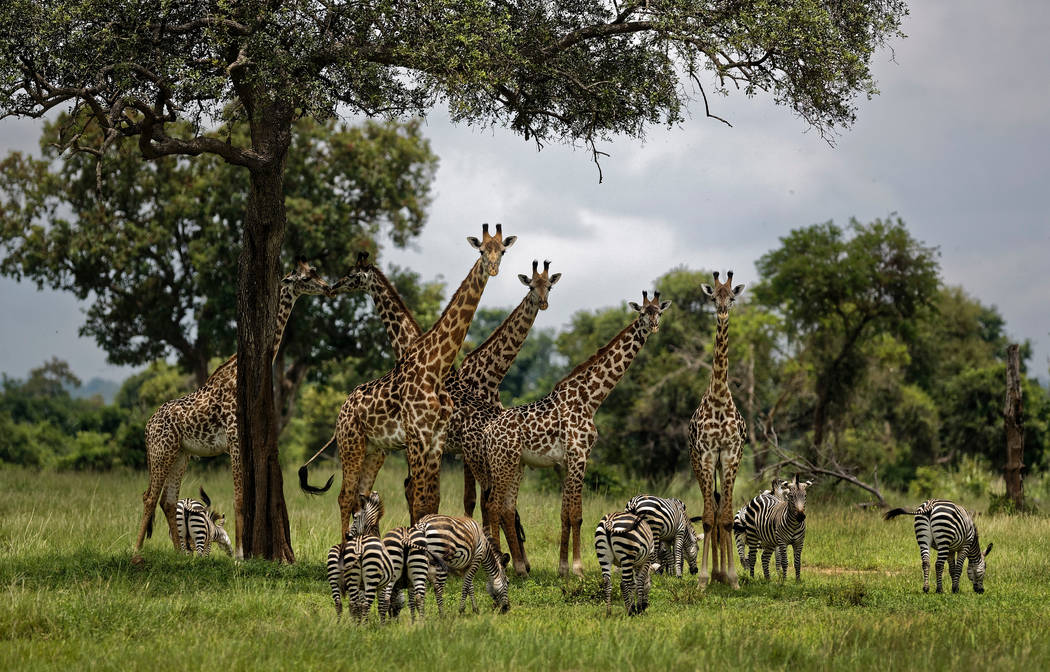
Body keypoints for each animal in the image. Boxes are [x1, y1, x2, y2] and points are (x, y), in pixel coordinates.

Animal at [131, 260, 329, 558]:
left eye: (315, 270)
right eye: (305, 277)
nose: (328, 287)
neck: (238, 375)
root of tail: (147, 425)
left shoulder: (239, 444)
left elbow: (242, 498)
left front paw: (240, 552)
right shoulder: (234, 440)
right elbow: (238, 499)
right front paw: (240, 555)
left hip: (181, 455)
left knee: (168, 499)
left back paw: (180, 553)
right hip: (160, 451)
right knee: (149, 496)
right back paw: (136, 551)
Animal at [298, 222, 514, 533]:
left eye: (503, 251)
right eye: (482, 250)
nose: (333, 287)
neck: (434, 364)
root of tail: (343, 409)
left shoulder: (433, 440)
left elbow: (428, 501)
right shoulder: (417, 438)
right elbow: (420, 499)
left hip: (381, 449)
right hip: (354, 444)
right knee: (346, 496)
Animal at [470, 291, 667, 575]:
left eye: (659, 312)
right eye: (642, 313)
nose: (653, 327)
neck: (591, 399)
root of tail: (487, 432)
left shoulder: (566, 462)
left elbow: (565, 513)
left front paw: (563, 567)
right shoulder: (579, 456)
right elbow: (577, 514)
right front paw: (577, 568)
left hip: (516, 465)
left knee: (506, 508)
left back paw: (520, 568)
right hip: (503, 463)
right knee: (493, 506)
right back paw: (502, 565)